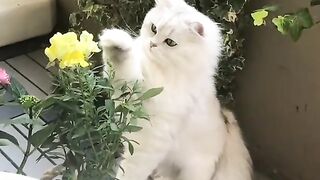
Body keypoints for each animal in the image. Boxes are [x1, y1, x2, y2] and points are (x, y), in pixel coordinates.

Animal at [99, 0, 251, 180]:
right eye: (154, 29)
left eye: (170, 42)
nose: (152, 44)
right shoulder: (125, 89)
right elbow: (121, 68)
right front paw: (115, 42)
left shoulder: (151, 139)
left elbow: (130, 171)